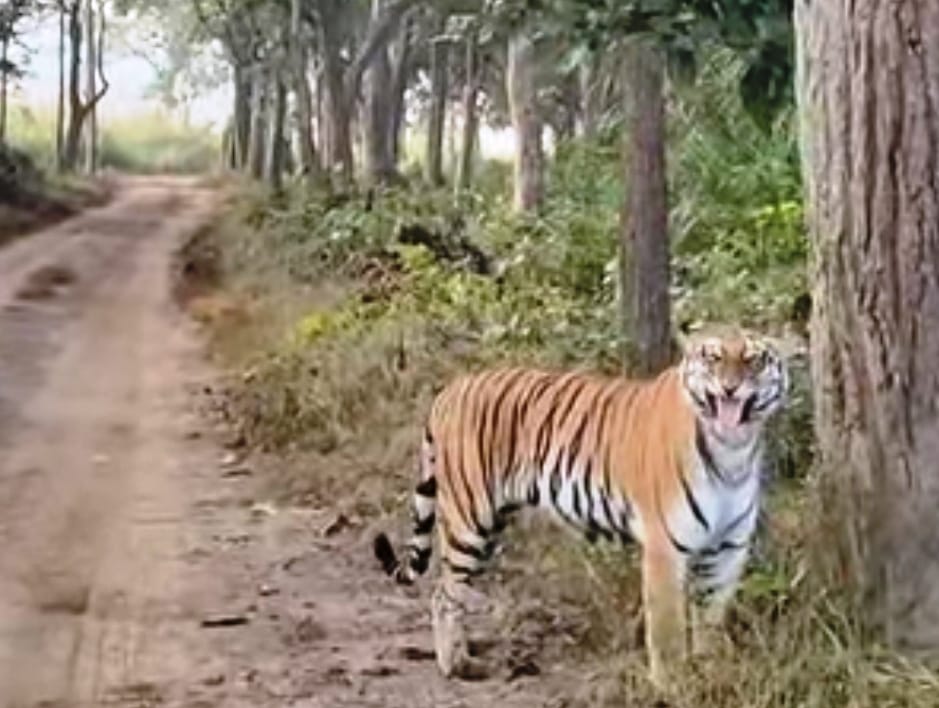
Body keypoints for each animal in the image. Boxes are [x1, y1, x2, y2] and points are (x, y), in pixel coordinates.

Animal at [373, 325, 788, 690]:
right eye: (712, 357)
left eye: (753, 360)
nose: (731, 387)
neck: (732, 454)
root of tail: (453, 387)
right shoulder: (665, 549)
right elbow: (667, 631)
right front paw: (671, 686)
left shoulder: (728, 549)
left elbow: (711, 622)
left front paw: (711, 672)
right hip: (468, 520)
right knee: (443, 595)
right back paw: (456, 666)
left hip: (491, 525)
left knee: (451, 591)